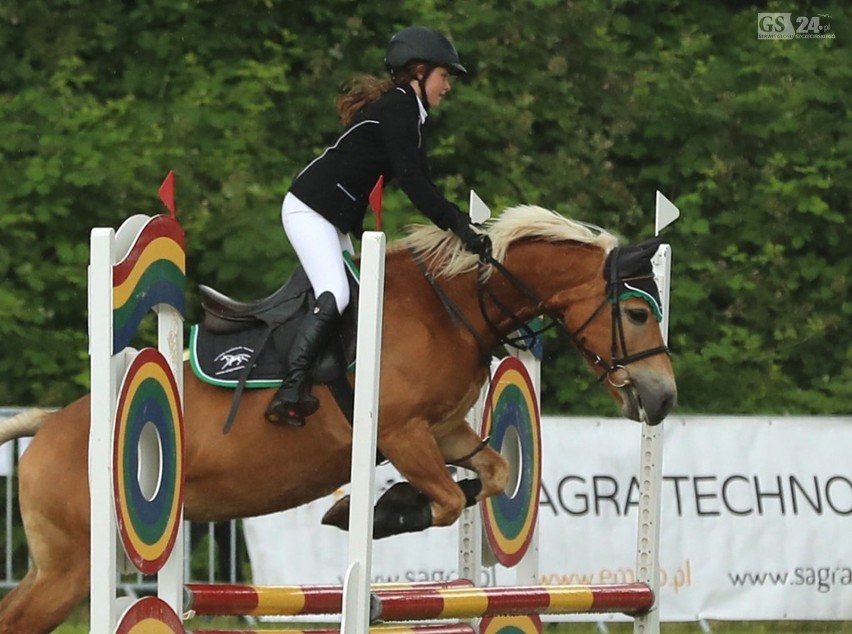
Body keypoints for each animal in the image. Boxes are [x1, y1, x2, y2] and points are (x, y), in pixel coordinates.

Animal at [0, 205, 680, 628]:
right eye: (638, 314)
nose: (664, 399)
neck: (452, 306)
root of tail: (49, 429)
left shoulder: (445, 431)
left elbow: (492, 473)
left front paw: (378, 506)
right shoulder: (402, 432)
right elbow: (446, 499)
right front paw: (367, 511)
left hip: (67, 563)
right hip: (73, 566)